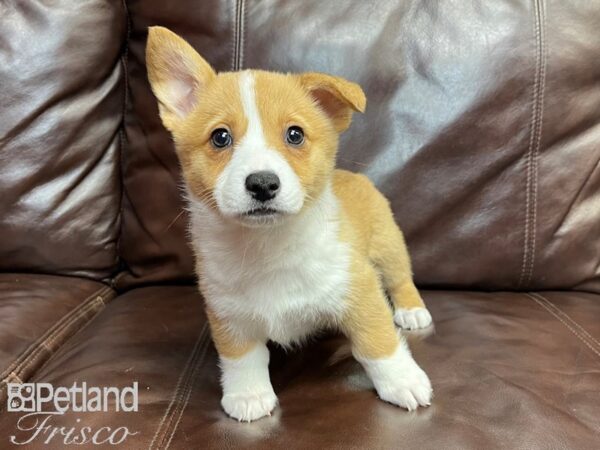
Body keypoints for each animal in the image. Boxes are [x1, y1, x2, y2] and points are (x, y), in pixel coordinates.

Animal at [148, 27, 434, 422]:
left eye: (295, 134)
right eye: (220, 137)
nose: (262, 184)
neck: (268, 245)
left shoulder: (360, 291)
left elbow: (378, 342)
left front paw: (403, 381)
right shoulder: (228, 313)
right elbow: (242, 358)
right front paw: (248, 395)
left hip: (389, 248)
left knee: (401, 279)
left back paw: (412, 311)